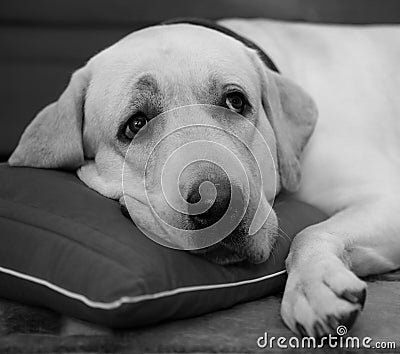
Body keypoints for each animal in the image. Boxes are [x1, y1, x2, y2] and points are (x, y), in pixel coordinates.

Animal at [7, 18, 400, 338]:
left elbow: (310, 232)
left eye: (236, 102)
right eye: (135, 124)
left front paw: (312, 286)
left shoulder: (385, 200)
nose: (218, 202)